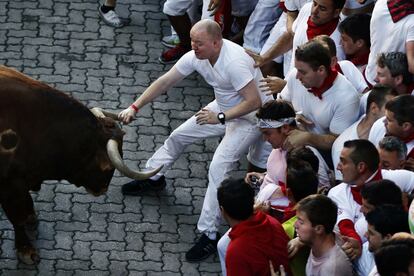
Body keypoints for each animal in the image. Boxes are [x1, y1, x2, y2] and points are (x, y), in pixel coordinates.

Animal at [0, 66, 160, 264]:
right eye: (108, 168)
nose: (103, 189)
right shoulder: (9, 186)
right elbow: (17, 218)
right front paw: (26, 250)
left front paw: (31, 218)